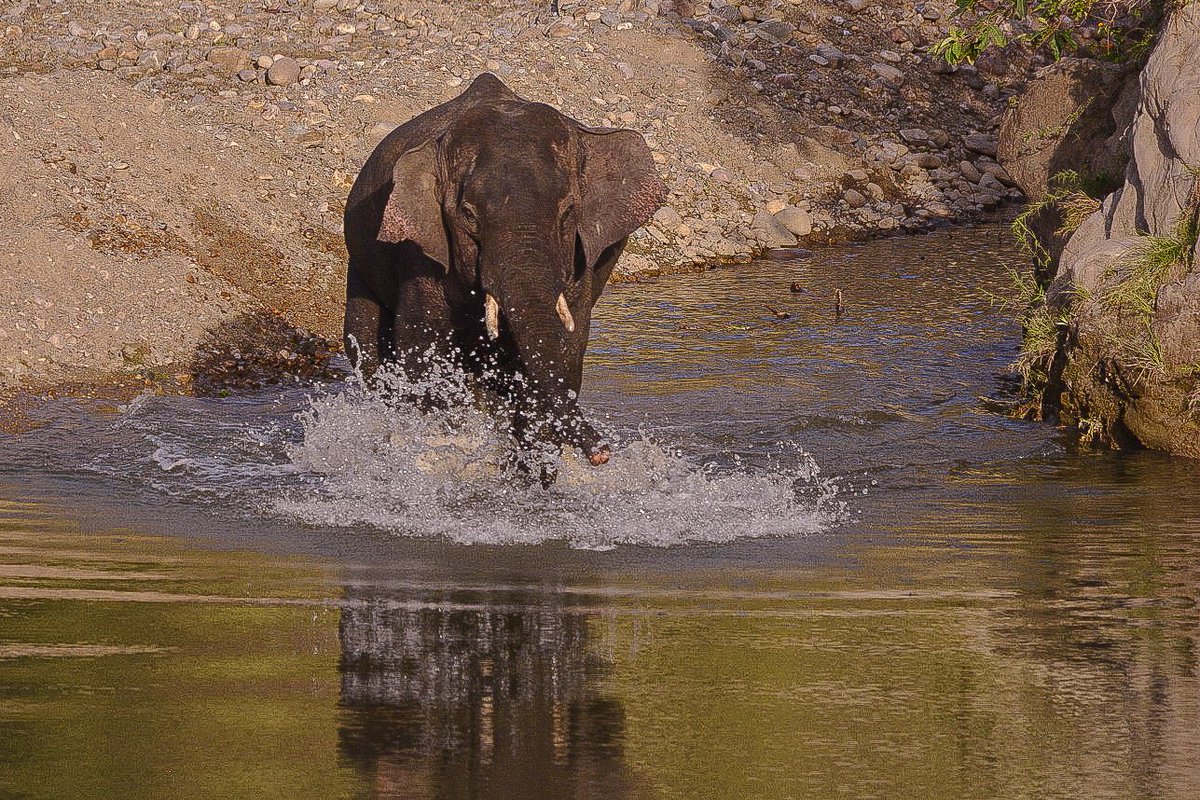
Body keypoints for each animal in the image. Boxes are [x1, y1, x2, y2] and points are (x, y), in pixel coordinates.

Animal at [343, 73, 665, 470]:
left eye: (568, 211)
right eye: (468, 215)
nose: (602, 455)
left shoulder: (580, 263)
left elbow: (565, 348)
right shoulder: (420, 251)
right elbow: (422, 346)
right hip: (360, 261)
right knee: (365, 344)